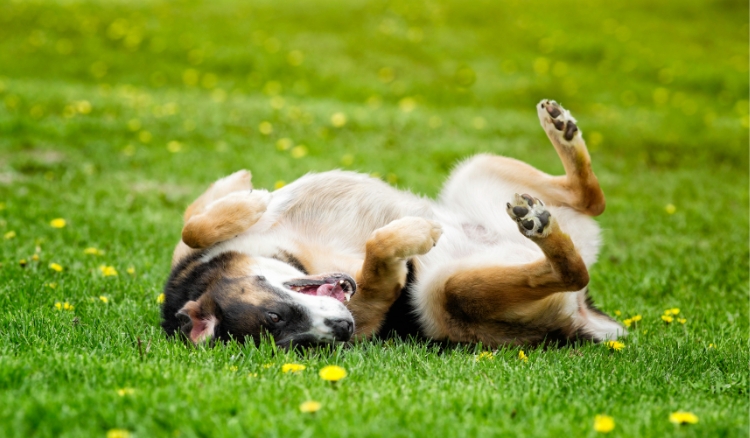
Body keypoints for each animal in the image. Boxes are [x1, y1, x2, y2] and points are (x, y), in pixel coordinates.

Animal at [162, 101, 624, 348]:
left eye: (275, 316)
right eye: (299, 344)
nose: (343, 328)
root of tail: (582, 319)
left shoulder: (190, 243)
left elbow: (193, 223)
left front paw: (246, 196)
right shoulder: (370, 307)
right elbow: (378, 254)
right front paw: (410, 236)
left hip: (476, 168)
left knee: (592, 199)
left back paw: (561, 131)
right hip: (446, 296)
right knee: (571, 267)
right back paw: (541, 229)